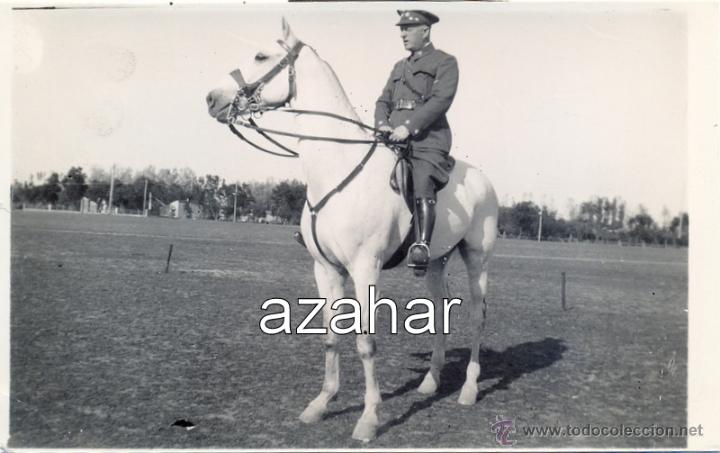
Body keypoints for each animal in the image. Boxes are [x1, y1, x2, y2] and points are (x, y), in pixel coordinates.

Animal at [206, 18, 499, 442]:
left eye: (260, 56)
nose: (212, 99)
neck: (337, 166)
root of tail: (484, 179)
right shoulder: (325, 269)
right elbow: (330, 335)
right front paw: (320, 404)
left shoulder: (365, 269)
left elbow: (365, 341)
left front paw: (369, 418)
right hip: (436, 262)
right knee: (439, 309)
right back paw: (430, 382)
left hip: (477, 258)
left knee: (478, 315)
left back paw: (469, 389)